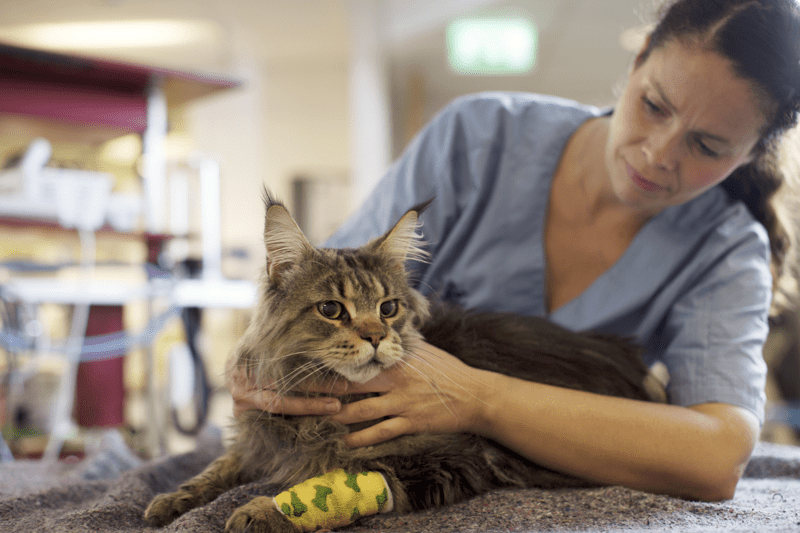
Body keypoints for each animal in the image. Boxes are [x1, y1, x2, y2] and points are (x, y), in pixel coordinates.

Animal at [142, 192, 664, 532]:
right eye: (331, 309)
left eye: (388, 308)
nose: (375, 337)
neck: (320, 408)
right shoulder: (260, 437)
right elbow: (216, 469)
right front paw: (169, 500)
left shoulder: (447, 459)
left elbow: (343, 480)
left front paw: (265, 510)